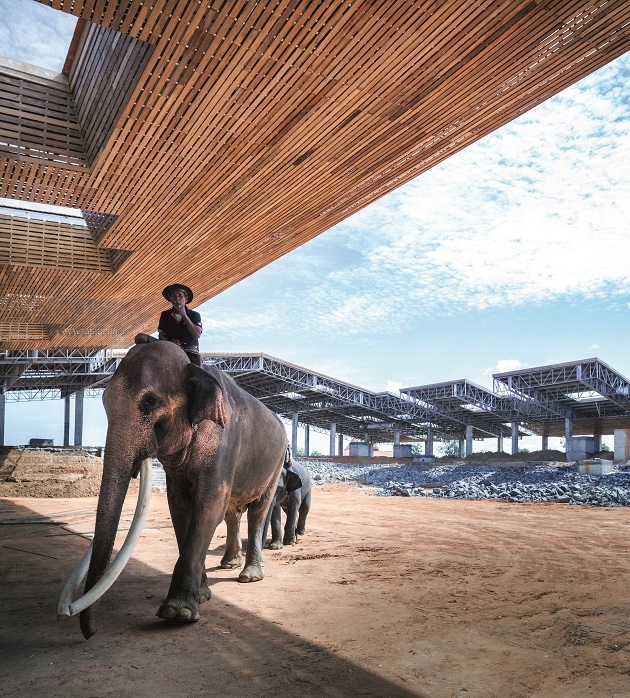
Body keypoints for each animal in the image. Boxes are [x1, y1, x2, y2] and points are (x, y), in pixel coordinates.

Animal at [56, 340, 288, 640]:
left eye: (149, 402)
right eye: (105, 400)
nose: (91, 632)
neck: (195, 368)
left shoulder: (224, 442)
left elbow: (209, 505)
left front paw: (178, 613)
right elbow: (179, 507)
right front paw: (201, 596)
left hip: (275, 464)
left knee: (258, 511)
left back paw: (249, 576)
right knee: (232, 513)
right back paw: (230, 564)